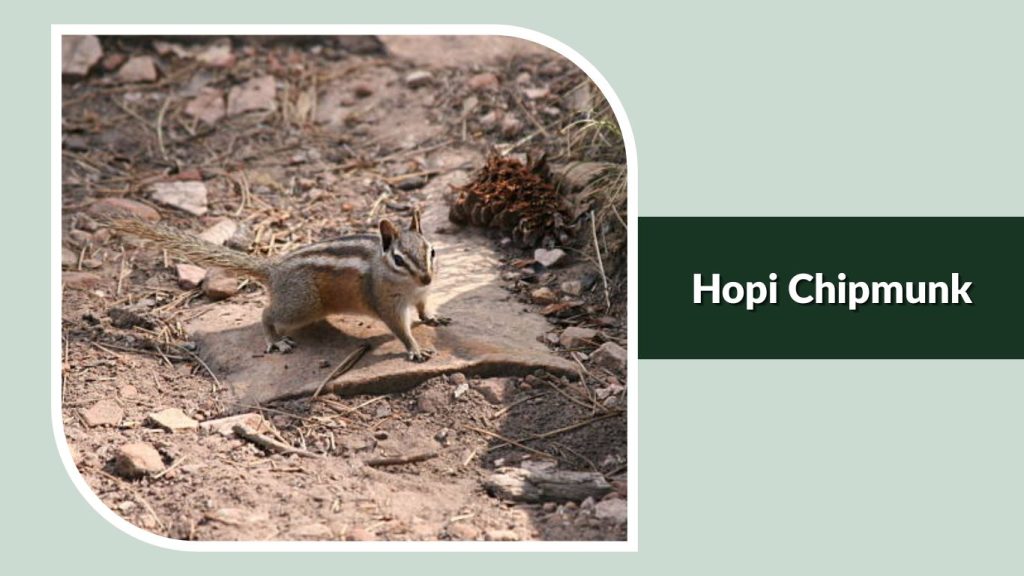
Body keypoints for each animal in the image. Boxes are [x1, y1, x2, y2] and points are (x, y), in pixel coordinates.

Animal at [106, 210, 450, 362]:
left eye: (431, 251)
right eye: (398, 260)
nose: (427, 278)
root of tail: (274, 270)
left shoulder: (421, 295)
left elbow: (423, 309)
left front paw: (433, 317)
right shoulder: (387, 304)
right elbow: (400, 330)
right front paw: (415, 349)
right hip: (302, 306)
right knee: (266, 314)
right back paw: (275, 341)